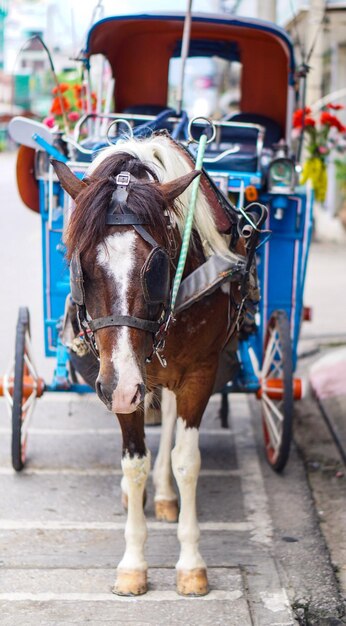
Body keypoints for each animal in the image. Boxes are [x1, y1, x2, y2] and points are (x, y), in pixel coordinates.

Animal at [52, 133, 245, 596]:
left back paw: (166, 496)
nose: (120, 388)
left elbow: (186, 460)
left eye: (156, 268)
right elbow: (134, 462)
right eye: (80, 268)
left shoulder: (198, 372)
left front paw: (191, 564)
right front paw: (133, 565)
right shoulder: (121, 382)